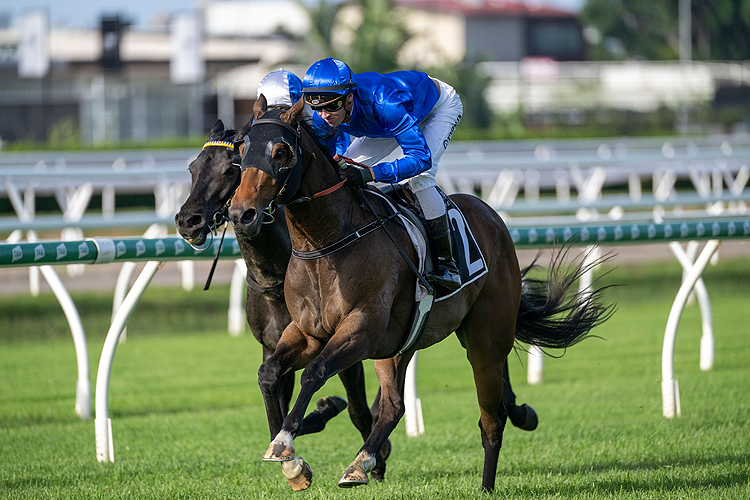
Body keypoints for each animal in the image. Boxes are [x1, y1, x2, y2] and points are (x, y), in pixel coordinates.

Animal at [231, 98, 616, 492]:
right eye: (241, 151)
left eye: (280, 152)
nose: (241, 213)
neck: (326, 244)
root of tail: (492, 216)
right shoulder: (308, 333)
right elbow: (268, 372)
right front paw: (293, 464)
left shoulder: (361, 330)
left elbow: (315, 372)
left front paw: (284, 445)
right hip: (399, 347)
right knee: (394, 406)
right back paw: (361, 463)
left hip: (485, 342)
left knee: (491, 420)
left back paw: (485, 485)